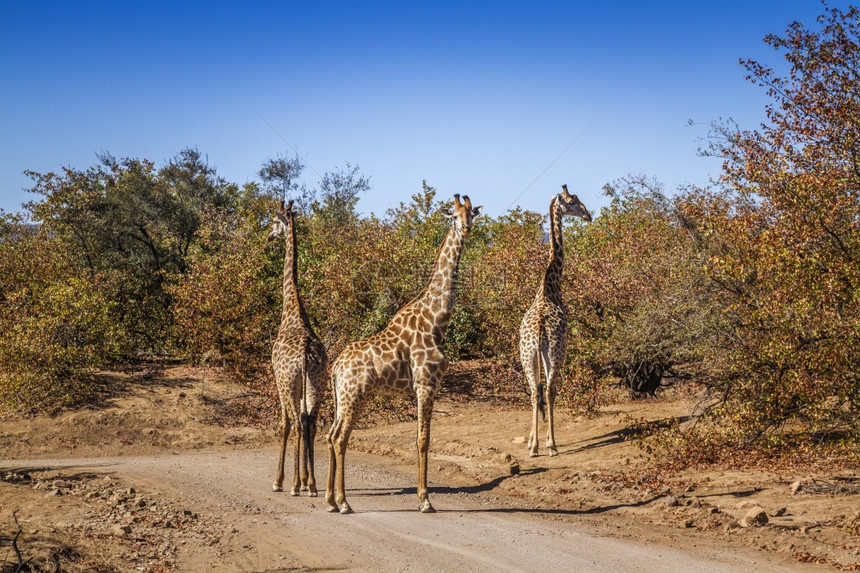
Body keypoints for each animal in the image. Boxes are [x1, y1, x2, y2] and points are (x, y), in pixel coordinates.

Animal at [326, 193, 480, 512]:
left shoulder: (428, 385)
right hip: (355, 396)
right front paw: (425, 500)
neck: (436, 320)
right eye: (454, 216)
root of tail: (335, 367)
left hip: (341, 397)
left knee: (332, 433)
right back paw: (344, 503)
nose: (466, 228)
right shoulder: (426, 383)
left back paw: (331, 501)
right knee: (340, 439)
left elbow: (422, 438)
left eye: (472, 213)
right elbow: (423, 439)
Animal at [516, 183, 592, 456]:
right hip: (555, 353)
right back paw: (551, 445)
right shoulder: (563, 349)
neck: (549, 286)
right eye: (571, 201)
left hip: (528, 356)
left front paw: (531, 440)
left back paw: (534, 447)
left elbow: (535, 393)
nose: (588, 215)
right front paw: (546, 440)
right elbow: (551, 391)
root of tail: (539, 330)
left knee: (533, 392)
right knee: (549, 390)